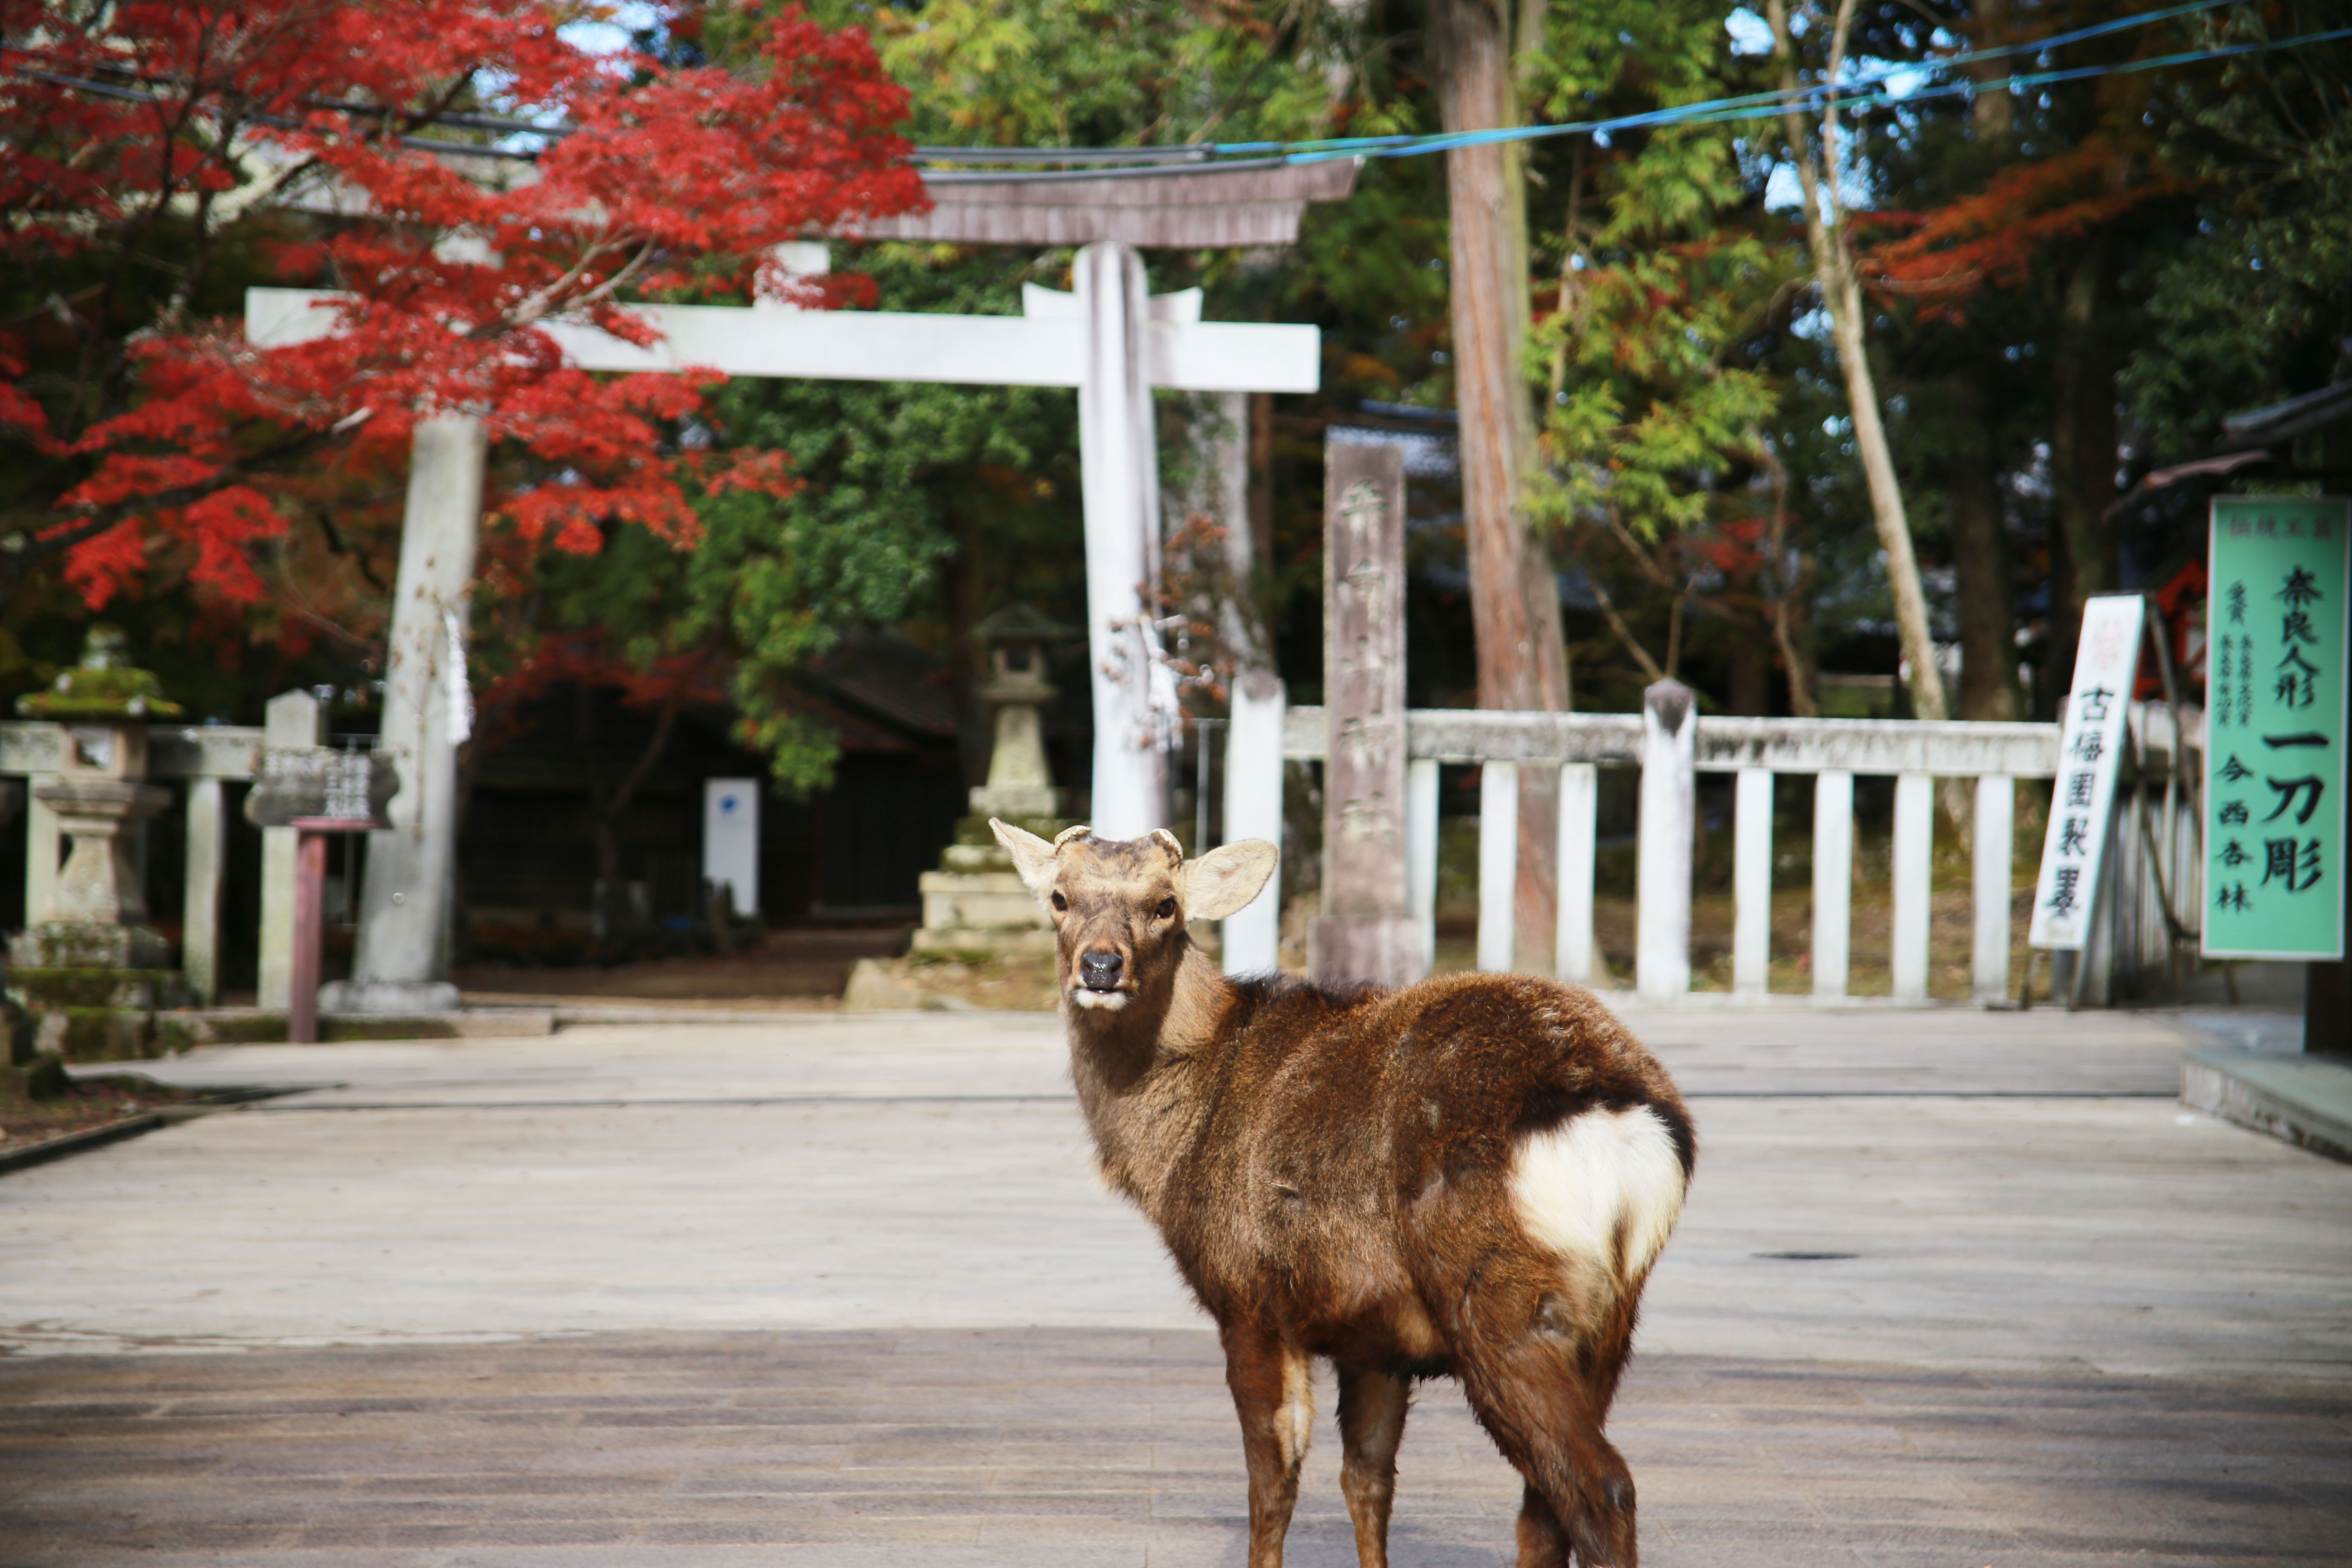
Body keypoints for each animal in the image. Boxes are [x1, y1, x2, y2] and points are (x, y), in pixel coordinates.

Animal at [988, 823, 1693, 1568]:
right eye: (1059, 897)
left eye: (1164, 905)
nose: (1100, 967)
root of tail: (1618, 1116)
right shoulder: (1373, 1335)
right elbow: (1368, 1479)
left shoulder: (1249, 1296)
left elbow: (1273, 1480)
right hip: (1613, 1321)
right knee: (1543, 1509)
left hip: (1501, 1300)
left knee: (1598, 1487)